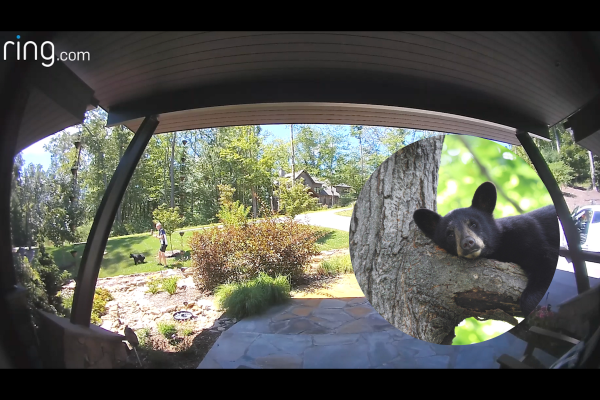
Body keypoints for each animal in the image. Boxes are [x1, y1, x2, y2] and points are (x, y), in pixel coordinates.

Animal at [412, 181, 556, 316]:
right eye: (450, 234)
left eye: (474, 224)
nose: (468, 243)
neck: (500, 247)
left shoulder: (528, 234)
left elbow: (545, 264)